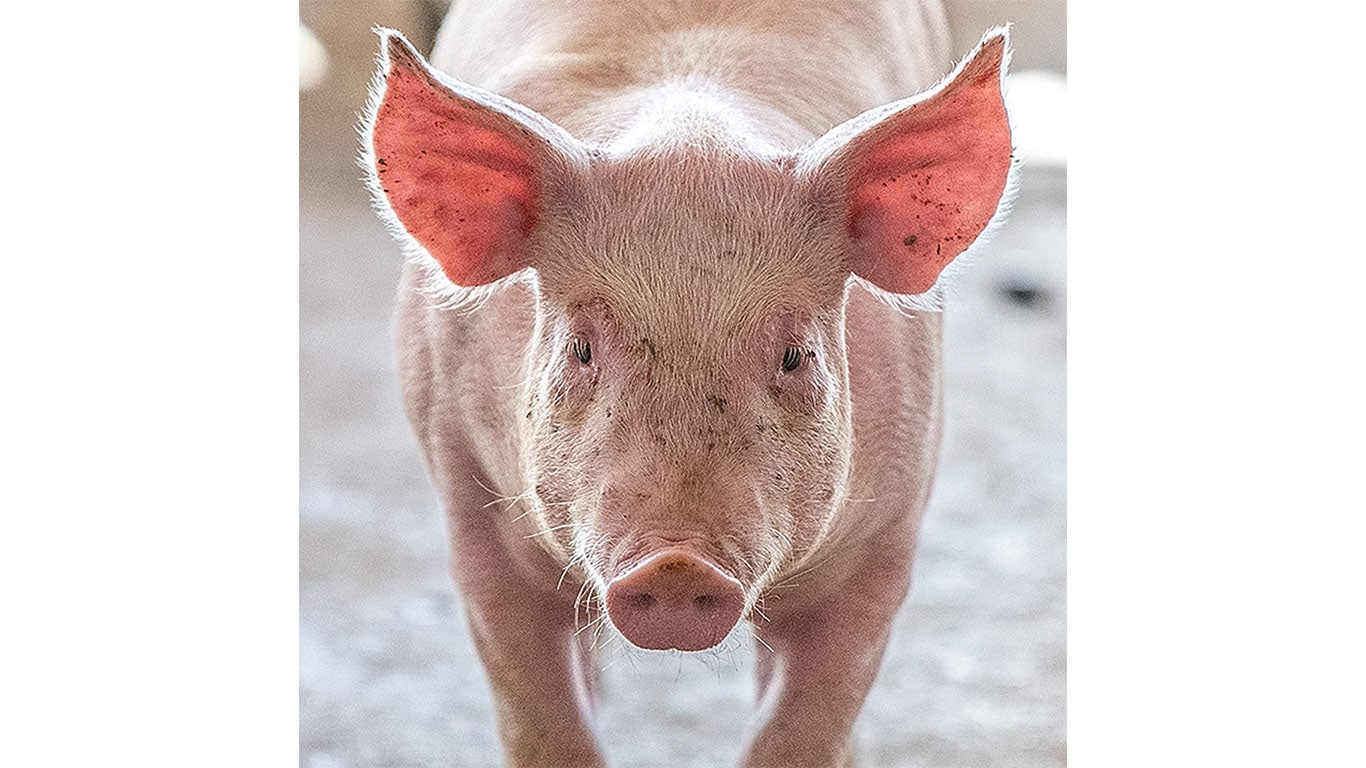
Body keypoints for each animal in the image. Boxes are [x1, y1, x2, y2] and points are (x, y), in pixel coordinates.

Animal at [361, 0, 1013, 764]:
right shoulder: (469, 493)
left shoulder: (888, 528)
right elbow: (541, 718)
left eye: (795, 356)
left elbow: (804, 727)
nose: (676, 566)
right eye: (581, 349)